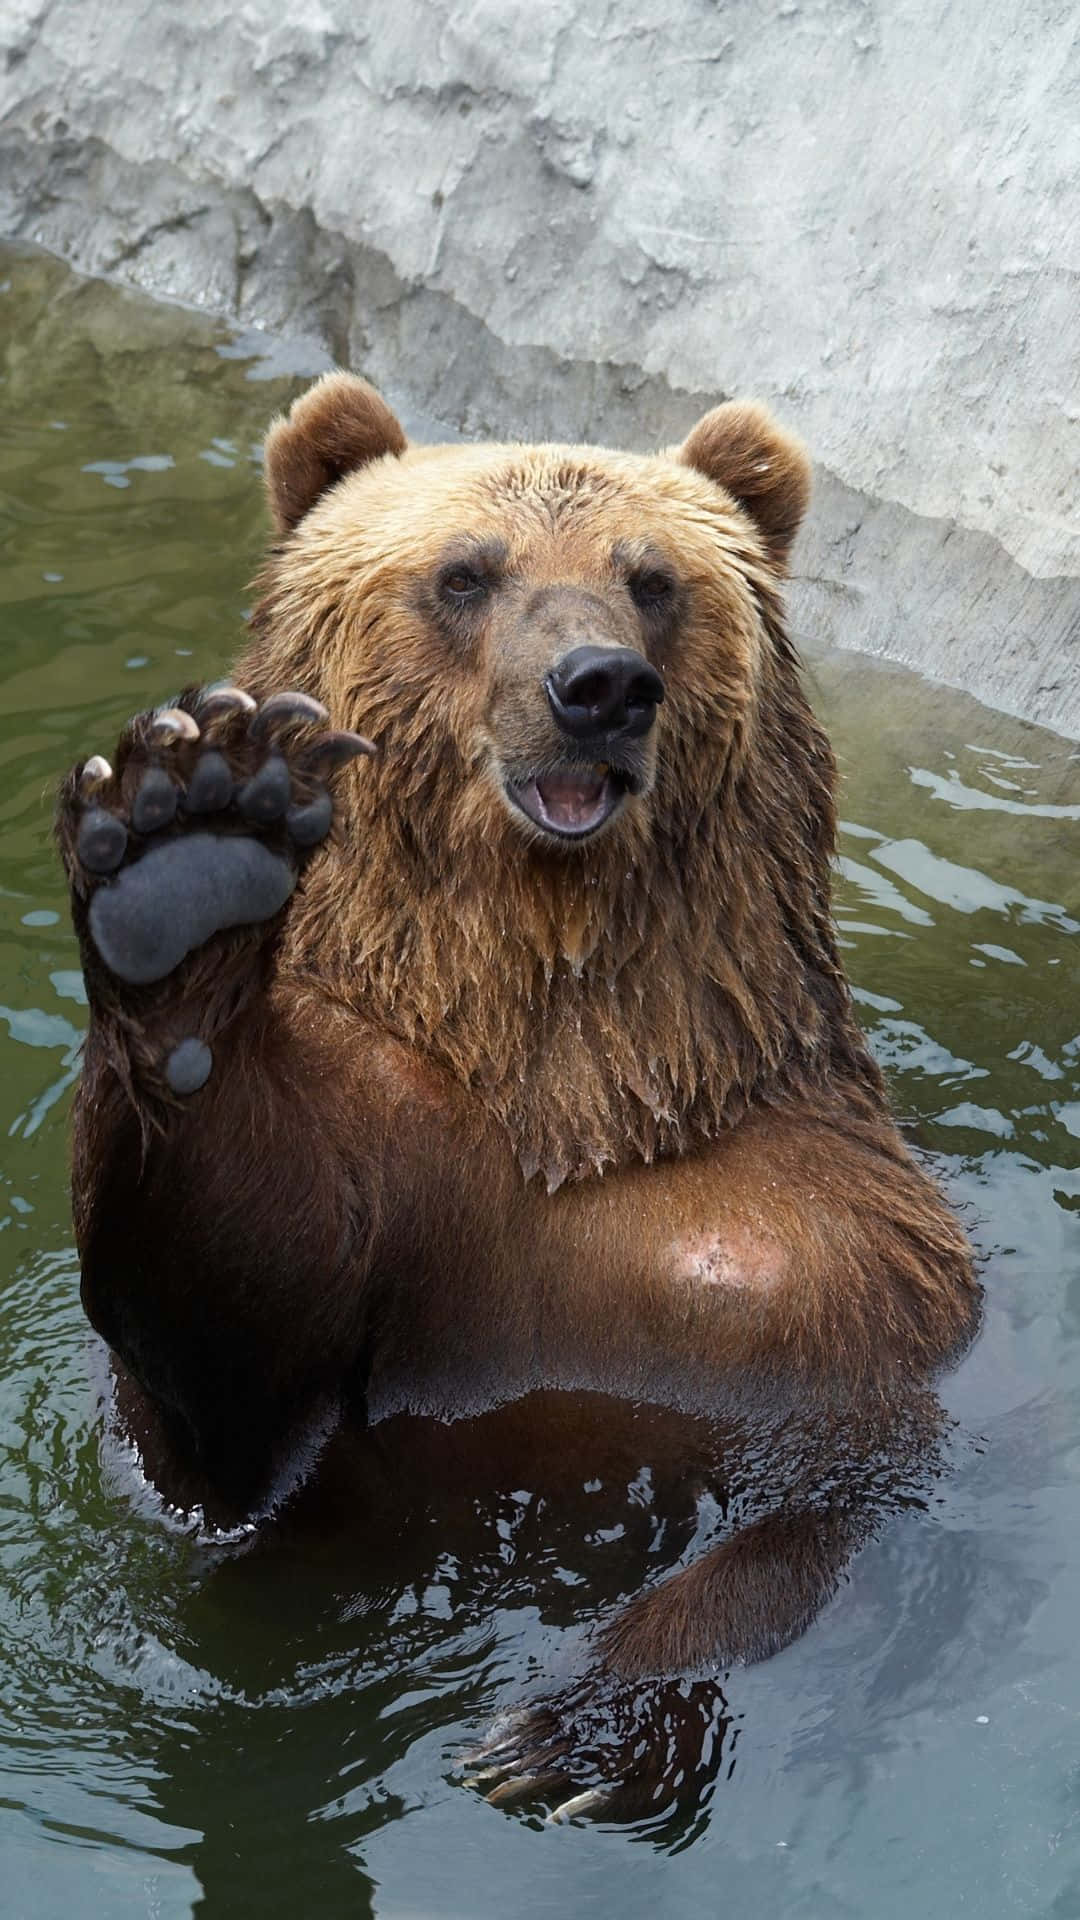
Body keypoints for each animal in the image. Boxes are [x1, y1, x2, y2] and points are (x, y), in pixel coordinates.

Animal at [56, 372, 980, 1820]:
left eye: (652, 578)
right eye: (465, 572)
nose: (598, 686)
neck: (560, 1084)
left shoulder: (810, 1258)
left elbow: (833, 1494)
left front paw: (571, 1734)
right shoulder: (372, 1142)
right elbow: (228, 1375)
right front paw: (184, 858)